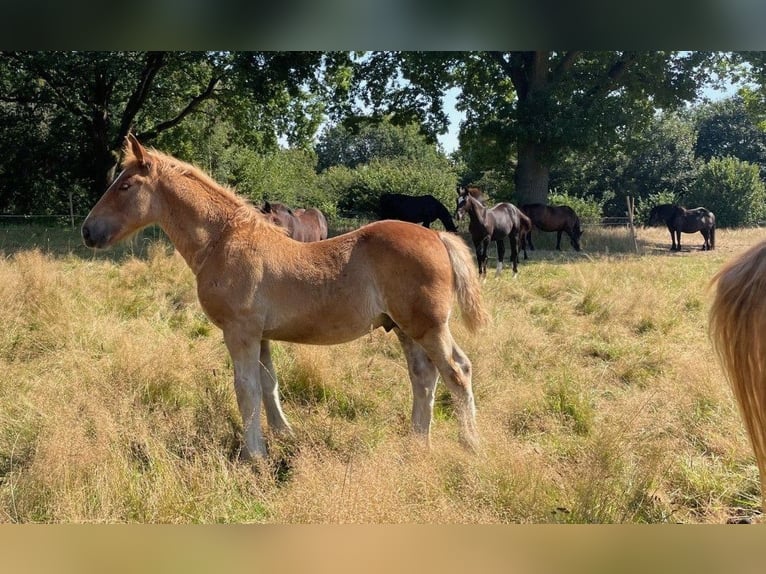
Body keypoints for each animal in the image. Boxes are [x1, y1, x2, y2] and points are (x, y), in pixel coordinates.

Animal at [81, 134, 488, 460]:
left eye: (125, 186)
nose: (88, 231)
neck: (223, 241)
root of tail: (437, 236)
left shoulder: (240, 332)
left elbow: (245, 389)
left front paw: (254, 454)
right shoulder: (260, 336)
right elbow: (268, 385)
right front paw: (284, 435)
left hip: (428, 326)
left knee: (457, 371)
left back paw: (470, 444)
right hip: (405, 328)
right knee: (424, 377)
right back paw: (417, 444)